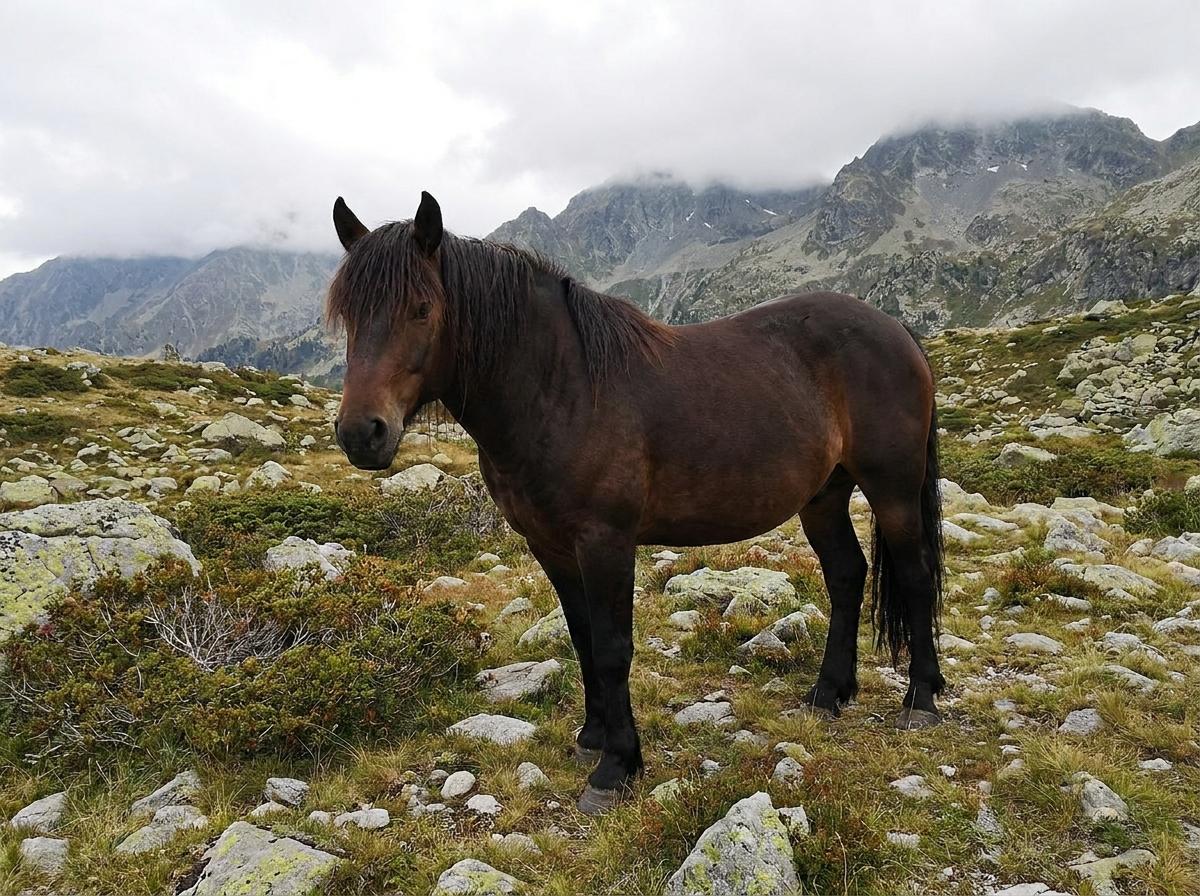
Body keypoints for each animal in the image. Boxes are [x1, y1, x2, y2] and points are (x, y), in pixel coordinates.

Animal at [327, 191, 945, 815]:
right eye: (347, 315)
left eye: (421, 308)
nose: (361, 433)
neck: (564, 389)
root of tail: (896, 329)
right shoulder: (551, 545)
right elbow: (582, 639)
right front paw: (593, 737)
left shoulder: (606, 542)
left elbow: (612, 648)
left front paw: (616, 767)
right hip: (823, 496)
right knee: (847, 575)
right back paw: (828, 693)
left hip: (892, 489)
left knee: (915, 576)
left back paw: (920, 700)